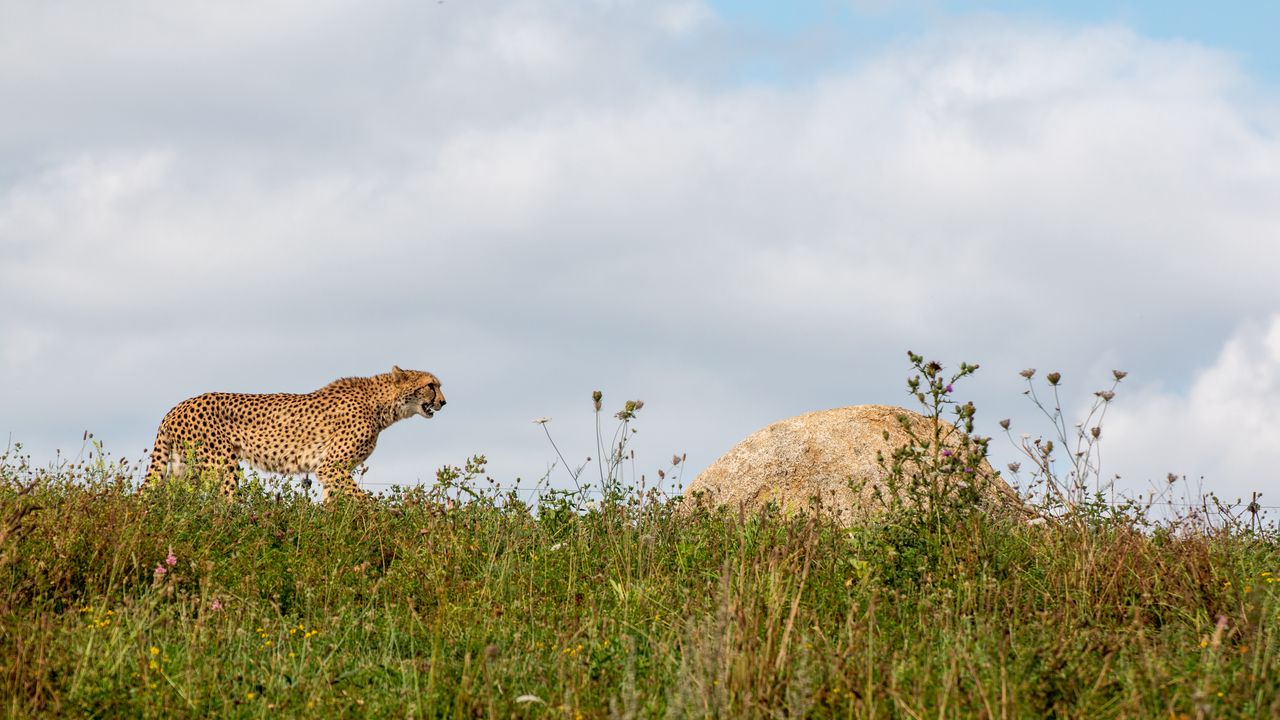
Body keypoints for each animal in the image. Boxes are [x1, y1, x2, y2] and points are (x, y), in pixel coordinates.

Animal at [141, 363, 445, 499]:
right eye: (431, 385)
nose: (444, 402)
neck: (381, 403)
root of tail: (175, 407)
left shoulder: (330, 470)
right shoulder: (331, 466)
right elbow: (361, 499)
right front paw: (383, 519)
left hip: (184, 468)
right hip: (221, 465)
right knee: (224, 503)